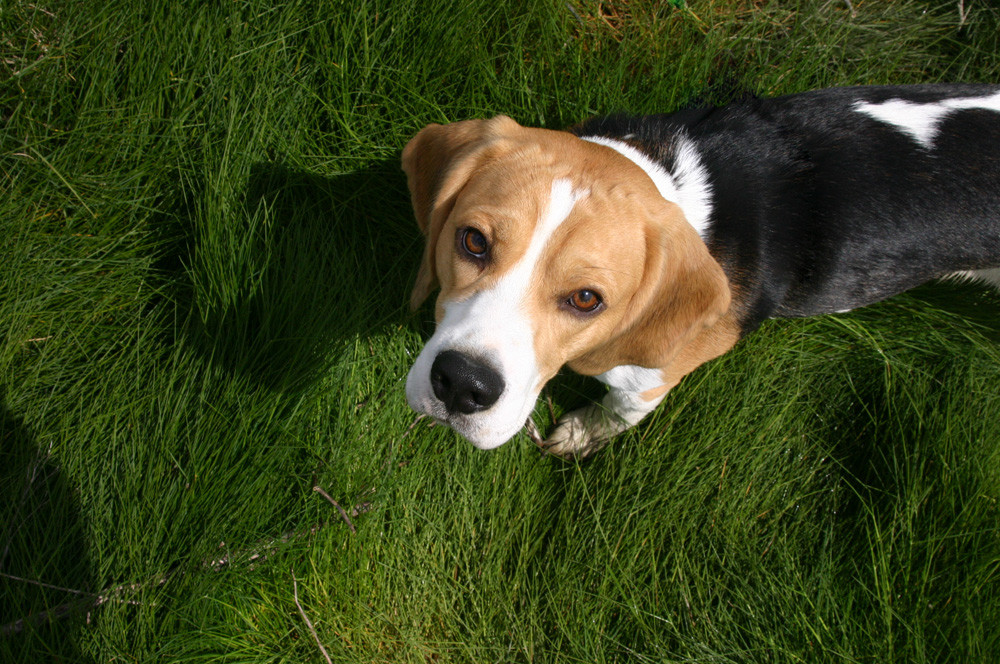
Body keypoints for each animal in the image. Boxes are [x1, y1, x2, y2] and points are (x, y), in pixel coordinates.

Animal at [400, 84, 1000, 456]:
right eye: (474, 241)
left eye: (587, 299)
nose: (462, 386)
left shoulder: (652, 377)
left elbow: (622, 409)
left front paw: (583, 433)